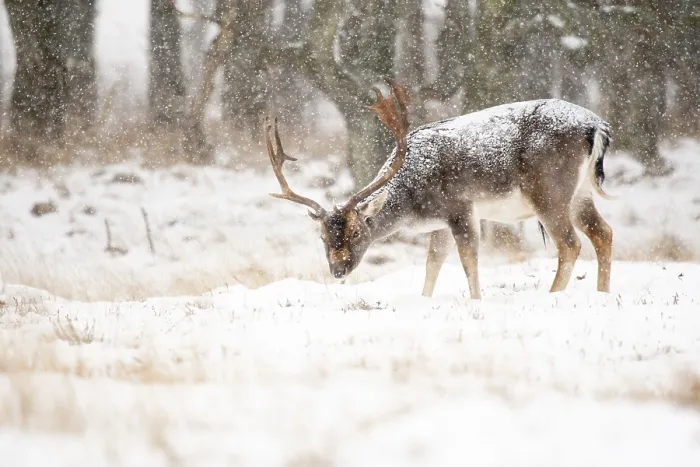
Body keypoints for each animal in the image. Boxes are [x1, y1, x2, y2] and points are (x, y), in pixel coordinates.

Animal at [263, 77, 614, 299]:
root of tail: (596, 125)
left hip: (548, 189)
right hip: (579, 193)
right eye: (322, 236)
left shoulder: (460, 207)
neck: (414, 205)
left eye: (356, 232)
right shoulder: (440, 223)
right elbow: (432, 264)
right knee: (603, 233)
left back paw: (552, 295)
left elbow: (468, 260)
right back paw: (603, 294)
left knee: (570, 243)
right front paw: (425, 299)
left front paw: (475, 301)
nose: (337, 271)